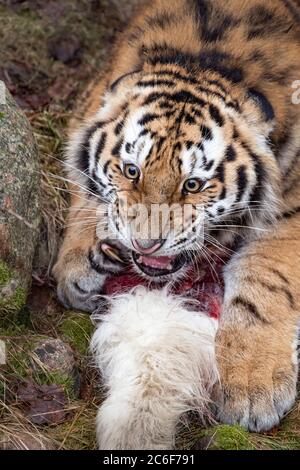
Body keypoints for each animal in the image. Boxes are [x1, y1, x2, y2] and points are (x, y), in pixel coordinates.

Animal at [53, 0, 300, 444]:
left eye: (193, 184)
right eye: (131, 171)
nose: (145, 244)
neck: (207, 59)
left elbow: (265, 281)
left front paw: (251, 387)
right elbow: (86, 194)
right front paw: (81, 266)